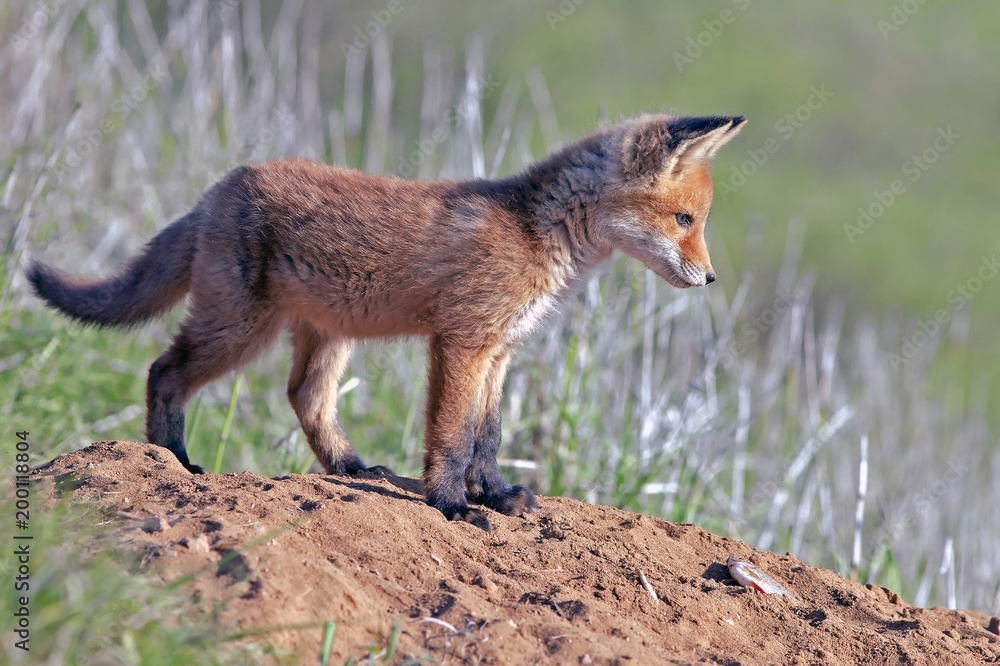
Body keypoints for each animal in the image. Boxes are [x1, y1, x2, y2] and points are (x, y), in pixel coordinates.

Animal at [27, 113, 745, 531]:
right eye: (685, 219)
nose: (711, 279)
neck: (537, 236)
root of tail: (222, 186)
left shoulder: (499, 351)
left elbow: (487, 437)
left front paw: (493, 495)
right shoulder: (460, 342)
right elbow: (451, 437)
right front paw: (451, 505)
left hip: (326, 336)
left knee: (304, 396)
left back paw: (349, 467)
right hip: (239, 329)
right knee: (164, 371)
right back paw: (170, 458)